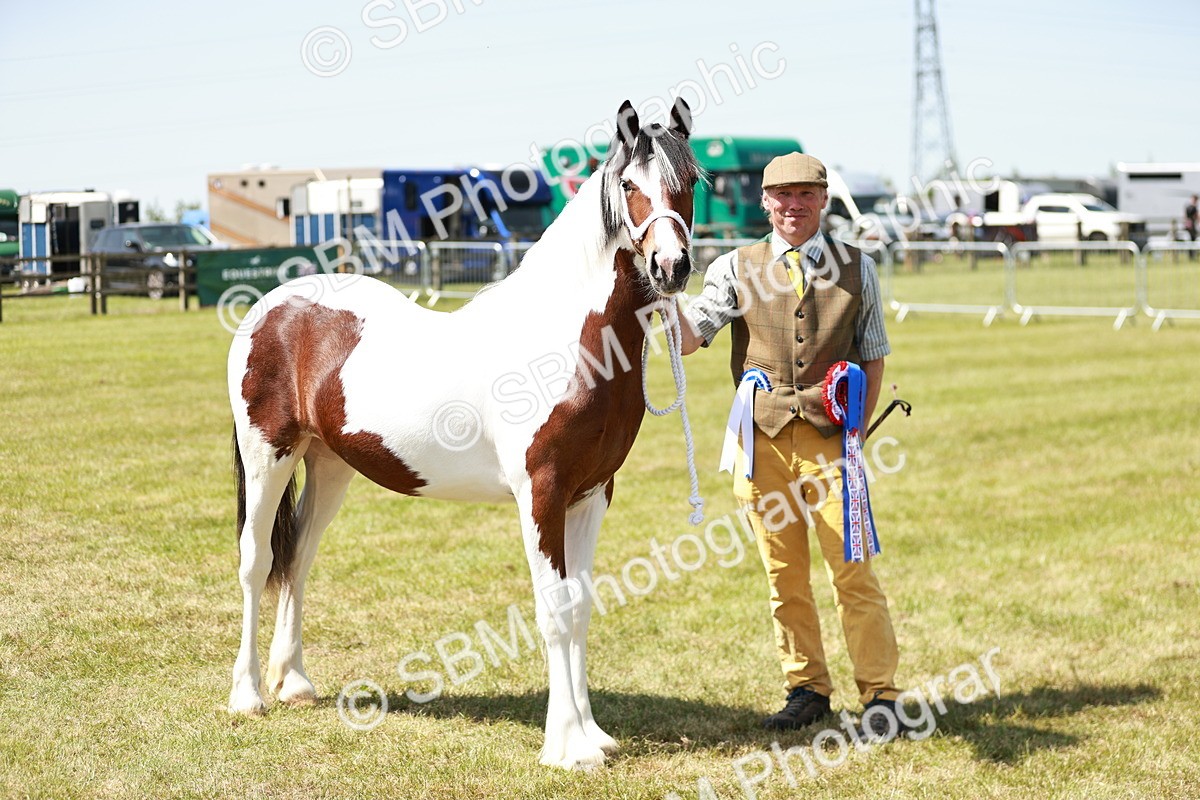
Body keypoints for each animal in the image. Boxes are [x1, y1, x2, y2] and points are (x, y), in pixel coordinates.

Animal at [226, 99, 700, 769]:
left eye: (690, 184)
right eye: (630, 185)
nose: (673, 266)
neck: (563, 341)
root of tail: (272, 305)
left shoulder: (590, 496)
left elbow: (581, 606)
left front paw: (594, 736)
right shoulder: (542, 494)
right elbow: (555, 610)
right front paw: (566, 747)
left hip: (329, 464)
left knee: (299, 558)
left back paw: (293, 684)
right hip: (267, 454)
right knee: (256, 560)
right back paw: (247, 696)